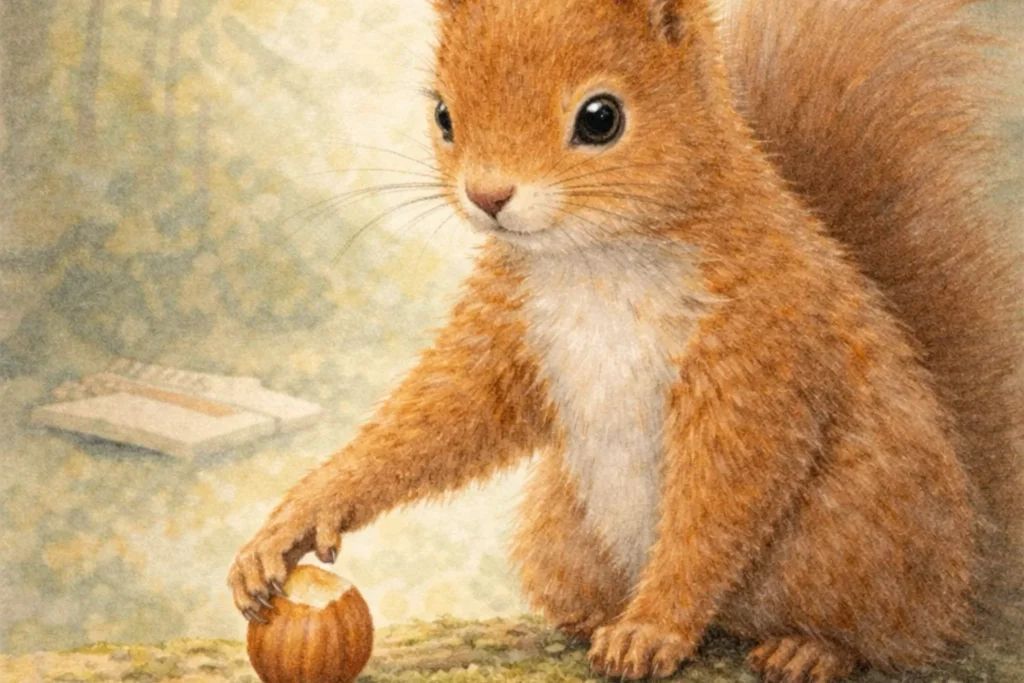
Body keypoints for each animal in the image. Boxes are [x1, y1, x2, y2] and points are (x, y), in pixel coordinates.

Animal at [228, 0, 1024, 681]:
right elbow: (438, 415)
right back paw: (587, 617)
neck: (596, 259)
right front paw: (296, 517)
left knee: (888, 635)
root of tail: (970, 567)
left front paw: (654, 627)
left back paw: (810, 647)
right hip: (564, 533)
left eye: (600, 118)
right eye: (443, 114)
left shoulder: (761, 332)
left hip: (855, 533)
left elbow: (723, 490)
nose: (488, 196)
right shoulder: (507, 323)